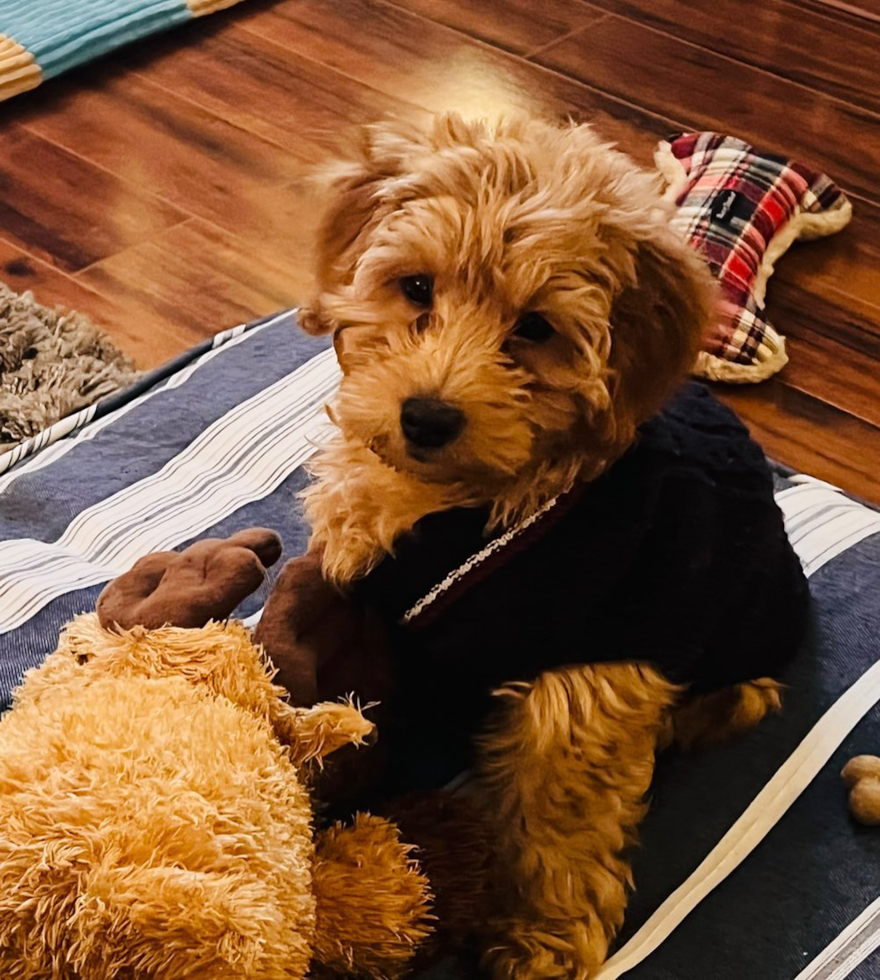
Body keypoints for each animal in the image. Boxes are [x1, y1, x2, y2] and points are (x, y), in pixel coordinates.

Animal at [300, 117, 808, 980]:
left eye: (534, 329)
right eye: (416, 288)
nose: (426, 416)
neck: (462, 505)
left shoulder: (594, 671)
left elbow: (563, 818)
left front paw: (542, 939)